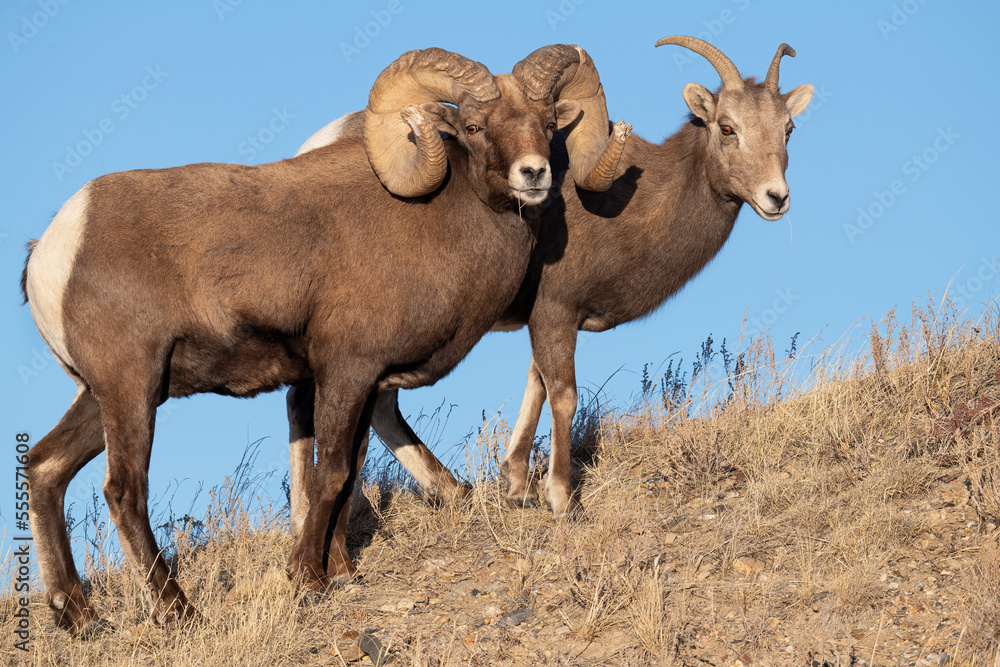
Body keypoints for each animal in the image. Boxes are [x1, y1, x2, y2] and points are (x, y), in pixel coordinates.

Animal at [21, 45, 627, 636]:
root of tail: (54, 248)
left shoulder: (366, 384)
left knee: (45, 468)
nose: (534, 174)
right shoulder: (346, 371)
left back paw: (78, 617)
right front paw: (307, 579)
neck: (437, 222)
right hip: (132, 388)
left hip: (108, 395)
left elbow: (348, 473)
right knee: (124, 490)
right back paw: (178, 613)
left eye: (547, 125)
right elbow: (330, 473)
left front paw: (339, 572)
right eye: (476, 127)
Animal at [286, 36, 813, 521]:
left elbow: (535, 382)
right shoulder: (555, 313)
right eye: (727, 128)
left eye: (788, 129)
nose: (776, 198)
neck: (627, 207)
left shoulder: (549, 320)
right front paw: (560, 499)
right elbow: (562, 394)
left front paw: (517, 485)